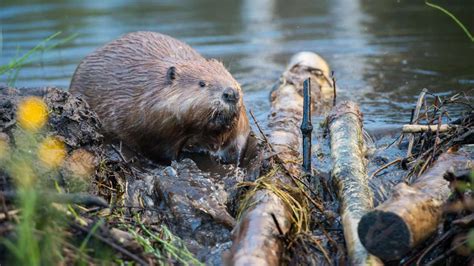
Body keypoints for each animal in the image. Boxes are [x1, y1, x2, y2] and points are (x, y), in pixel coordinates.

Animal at [70, 31, 250, 164]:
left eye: (230, 76)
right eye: (202, 83)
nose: (231, 93)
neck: (152, 91)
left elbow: (239, 141)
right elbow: (161, 151)